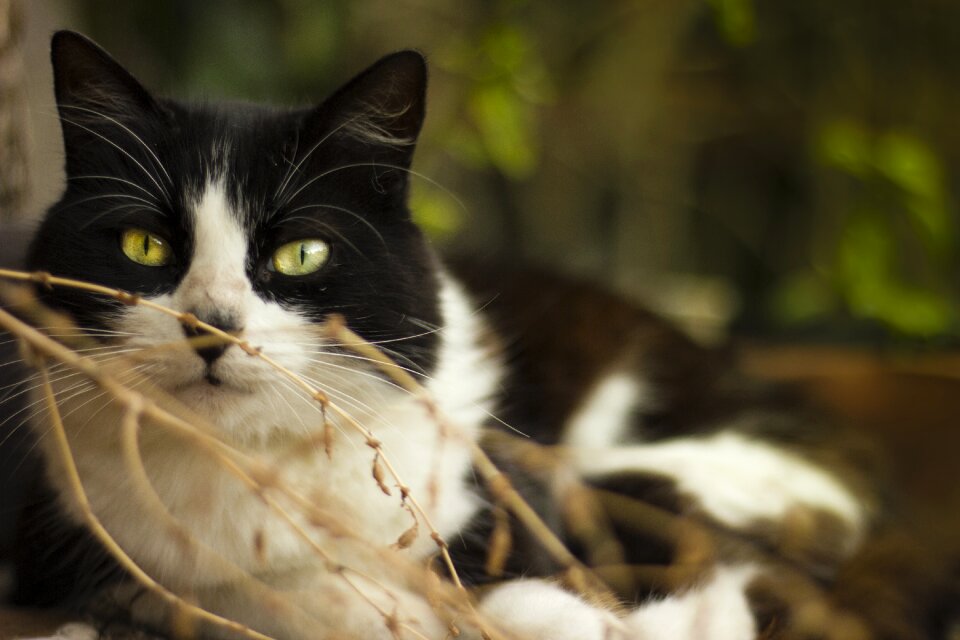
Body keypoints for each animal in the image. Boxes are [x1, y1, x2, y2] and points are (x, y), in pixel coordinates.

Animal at [0, 30, 952, 640]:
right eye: (145, 247)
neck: (255, 471)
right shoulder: (83, 541)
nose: (210, 324)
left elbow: (523, 580)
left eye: (302, 252)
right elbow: (254, 597)